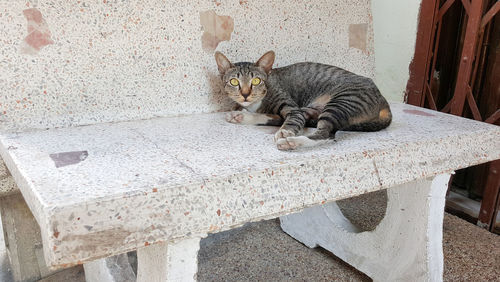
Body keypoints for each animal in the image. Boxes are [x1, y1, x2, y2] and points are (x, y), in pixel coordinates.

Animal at [214, 50, 390, 150]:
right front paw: (240, 113)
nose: (245, 94)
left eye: (256, 81)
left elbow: (292, 119)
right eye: (234, 82)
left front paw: (285, 131)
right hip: (312, 108)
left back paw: (291, 141)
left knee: (327, 134)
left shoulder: (291, 107)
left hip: (343, 101)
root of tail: (383, 99)